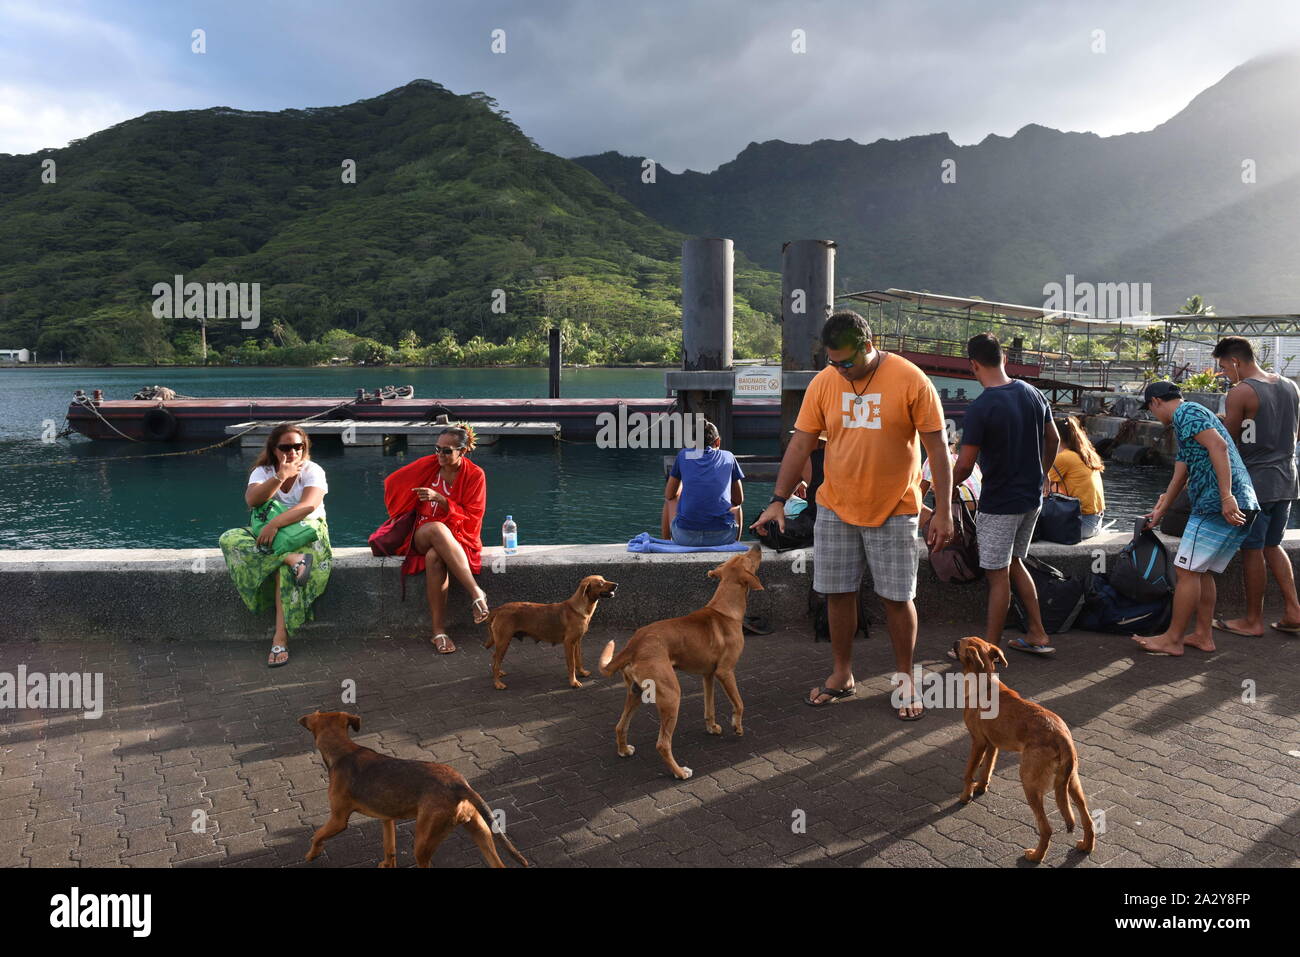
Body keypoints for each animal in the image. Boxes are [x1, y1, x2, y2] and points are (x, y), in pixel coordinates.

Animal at [297, 712, 527, 868]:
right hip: (480, 831)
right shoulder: (386, 819)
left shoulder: (338, 820)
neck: (343, 751)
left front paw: (311, 854)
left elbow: (317, 835)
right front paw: (387, 864)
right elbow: (389, 849)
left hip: (423, 843)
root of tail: (459, 784)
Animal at [483, 574, 618, 686]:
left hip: (502, 642)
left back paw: (499, 673)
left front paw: (582, 673)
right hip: (503, 641)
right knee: (495, 663)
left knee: (495, 659)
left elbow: (579, 659)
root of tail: (499, 609)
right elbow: (572, 664)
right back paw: (498, 684)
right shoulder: (569, 643)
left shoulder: (577, 641)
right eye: (601, 583)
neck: (579, 608)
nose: (617, 584)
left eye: (604, 579)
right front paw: (573, 682)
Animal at [595, 546, 759, 780]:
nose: (757, 546)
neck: (725, 610)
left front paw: (712, 727)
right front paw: (737, 726)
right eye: (748, 559)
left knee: (620, 726)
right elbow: (739, 703)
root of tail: (634, 644)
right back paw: (680, 772)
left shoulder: (708, 675)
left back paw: (624, 750)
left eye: (740, 557)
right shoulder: (726, 672)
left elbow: (709, 707)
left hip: (635, 692)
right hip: (671, 695)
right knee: (662, 744)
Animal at [951, 639, 1092, 863]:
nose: (953, 642)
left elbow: (969, 773)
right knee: (1087, 819)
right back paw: (1086, 846)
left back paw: (1035, 856)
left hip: (1029, 782)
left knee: (1046, 828)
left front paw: (966, 796)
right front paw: (981, 787)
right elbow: (987, 769)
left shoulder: (979, 742)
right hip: (1071, 783)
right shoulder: (993, 745)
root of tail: (1062, 737)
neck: (985, 683)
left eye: (960, 644)